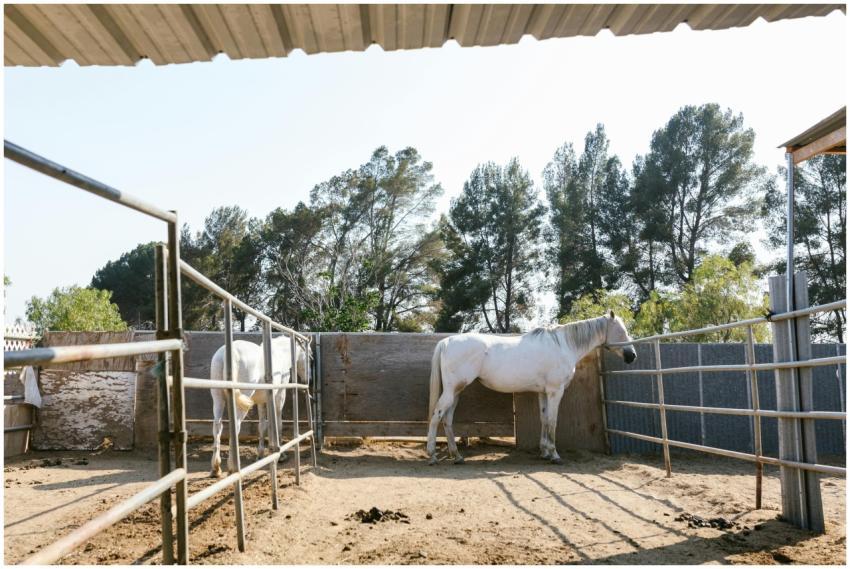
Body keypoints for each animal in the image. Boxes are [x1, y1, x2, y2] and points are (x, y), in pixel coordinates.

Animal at [209, 335, 308, 478]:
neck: (280, 354)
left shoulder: (262, 401)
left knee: (217, 426)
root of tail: (229, 353)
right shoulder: (279, 397)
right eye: (309, 354)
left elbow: (262, 425)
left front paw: (260, 454)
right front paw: (281, 454)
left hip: (218, 398)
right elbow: (278, 424)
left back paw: (216, 468)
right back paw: (232, 466)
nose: (307, 380)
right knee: (236, 426)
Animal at [426, 311, 636, 465]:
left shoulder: (543, 392)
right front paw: (554, 455)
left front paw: (544, 452)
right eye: (621, 331)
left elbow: (544, 419)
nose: (632, 356)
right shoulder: (555, 392)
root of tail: (446, 342)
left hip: (456, 392)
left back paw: (457, 456)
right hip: (452, 391)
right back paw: (432, 455)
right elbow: (553, 421)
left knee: (447, 419)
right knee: (437, 415)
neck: (562, 345)